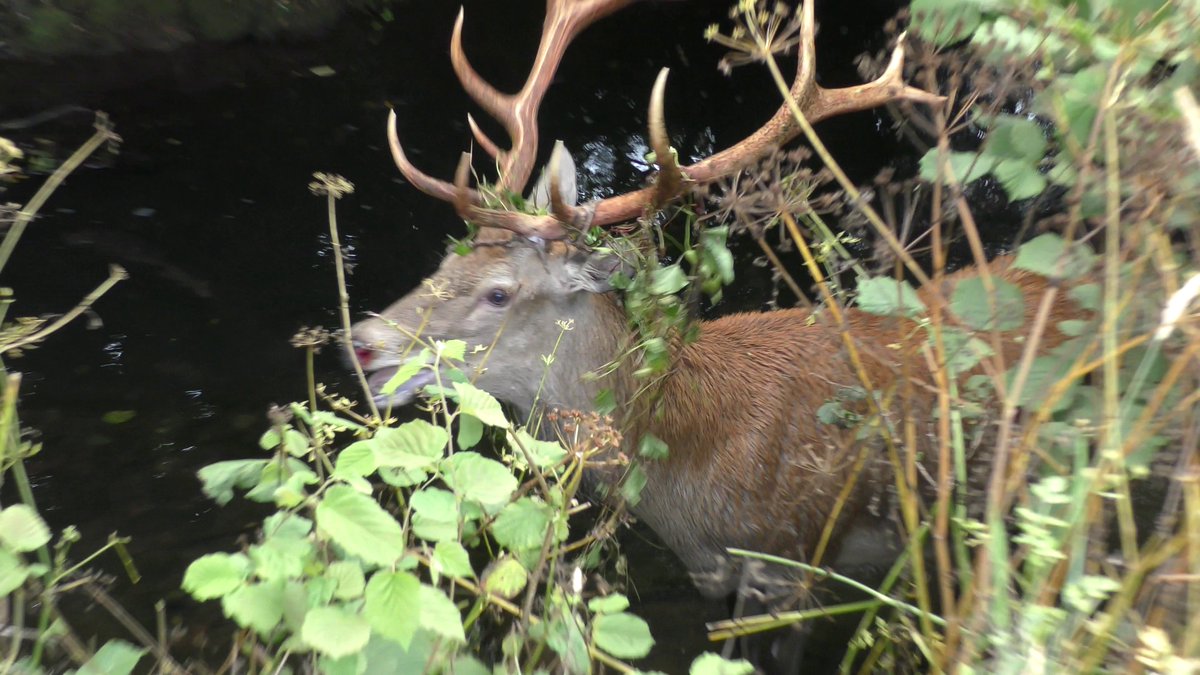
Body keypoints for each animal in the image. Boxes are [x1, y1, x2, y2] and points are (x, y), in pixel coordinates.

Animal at [351, 0, 1077, 634]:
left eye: (500, 293)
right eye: (445, 256)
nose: (360, 341)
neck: (687, 481)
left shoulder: (791, 561)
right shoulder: (709, 570)